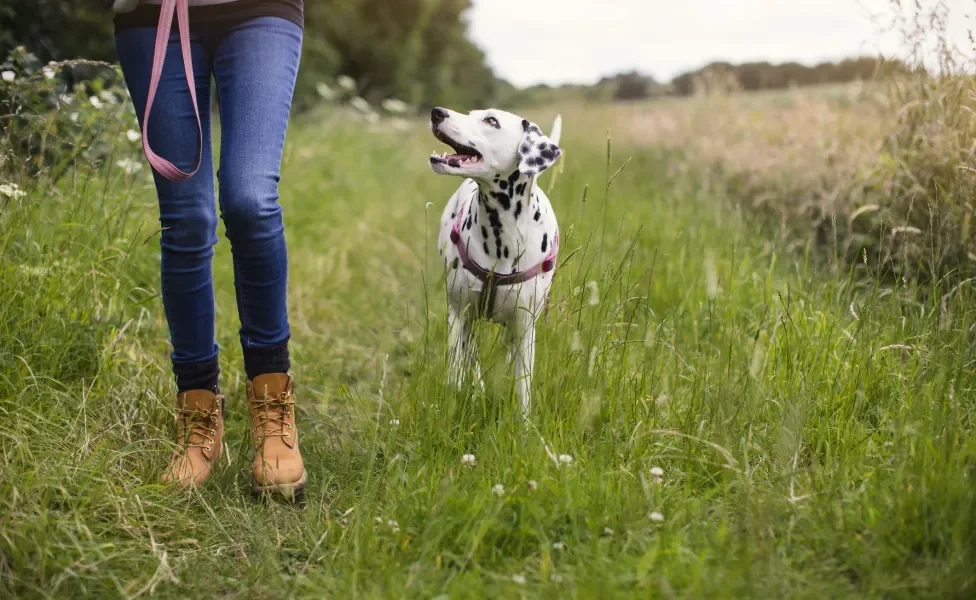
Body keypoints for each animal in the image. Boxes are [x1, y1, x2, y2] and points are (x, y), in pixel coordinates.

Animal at [428, 106, 560, 418]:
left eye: (491, 121)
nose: (437, 112)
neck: (503, 238)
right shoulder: (459, 314)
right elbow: (456, 373)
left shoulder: (525, 329)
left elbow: (523, 390)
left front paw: (524, 426)